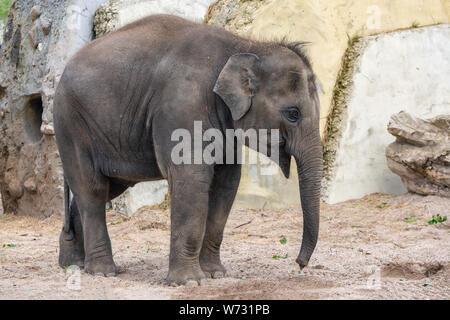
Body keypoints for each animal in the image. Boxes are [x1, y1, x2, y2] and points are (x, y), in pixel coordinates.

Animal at [55, 14, 324, 284]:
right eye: (293, 114)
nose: (299, 264)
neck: (244, 45)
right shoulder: (182, 106)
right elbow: (192, 178)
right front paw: (189, 281)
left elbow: (227, 183)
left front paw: (215, 274)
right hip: (72, 123)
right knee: (92, 188)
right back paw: (102, 271)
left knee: (106, 187)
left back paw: (73, 264)